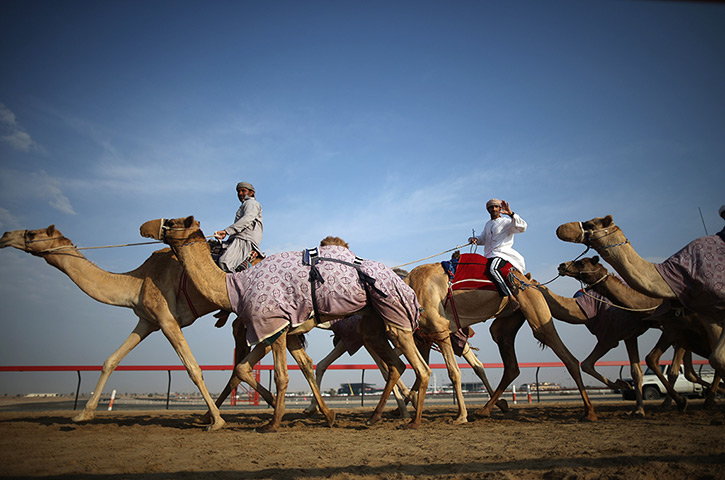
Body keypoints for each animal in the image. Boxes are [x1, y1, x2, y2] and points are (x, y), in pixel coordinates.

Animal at [140, 216, 430, 430]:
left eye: (173, 221)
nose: (145, 227)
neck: (234, 286)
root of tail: (403, 281)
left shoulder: (271, 325)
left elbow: (278, 374)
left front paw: (272, 423)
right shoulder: (284, 331)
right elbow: (266, 367)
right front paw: (327, 415)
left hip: (394, 319)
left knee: (420, 368)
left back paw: (412, 421)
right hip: (374, 325)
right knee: (395, 366)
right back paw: (377, 416)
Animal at [404, 258, 596, 424]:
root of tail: (531, 281)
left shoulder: (439, 329)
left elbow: (452, 372)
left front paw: (460, 416)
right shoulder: (425, 337)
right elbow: (421, 371)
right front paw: (408, 406)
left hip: (534, 308)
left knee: (563, 353)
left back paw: (589, 412)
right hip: (510, 318)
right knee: (508, 359)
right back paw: (487, 409)